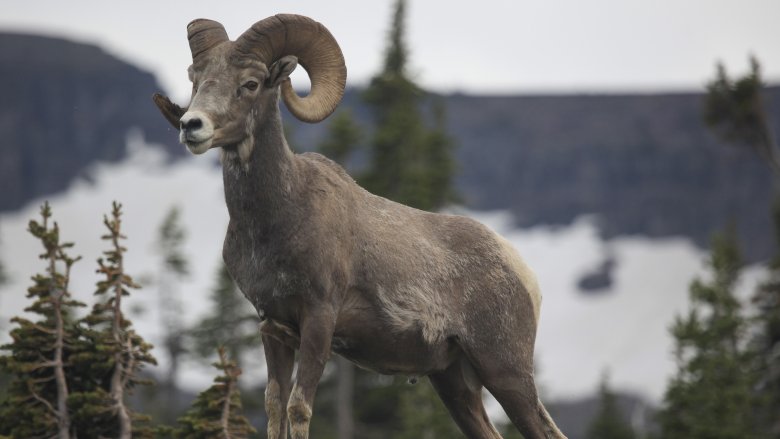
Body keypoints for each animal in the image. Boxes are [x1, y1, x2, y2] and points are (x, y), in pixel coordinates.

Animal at [152, 13, 568, 439]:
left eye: (250, 83)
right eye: (196, 79)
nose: (191, 125)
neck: (277, 219)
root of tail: (520, 269)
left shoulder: (319, 319)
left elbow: (298, 407)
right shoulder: (273, 326)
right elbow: (274, 406)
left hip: (505, 372)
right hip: (455, 383)